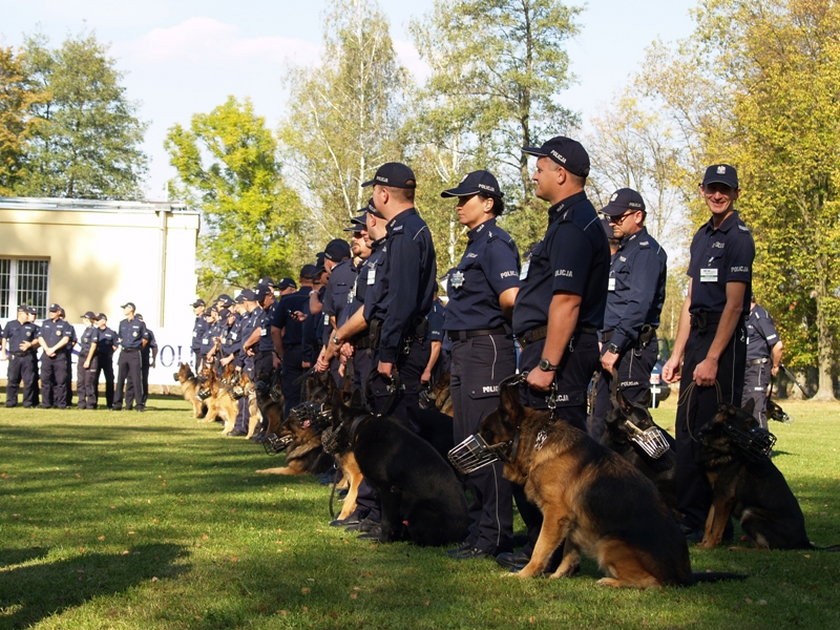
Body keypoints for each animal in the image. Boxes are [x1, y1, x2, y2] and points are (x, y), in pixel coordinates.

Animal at [330, 400, 472, 548]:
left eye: (333, 422)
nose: (327, 443)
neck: (361, 426)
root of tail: (464, 532)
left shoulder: (388, 490)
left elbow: (387, 520)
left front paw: (383, 539)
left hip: (420, 510)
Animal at [472, 376, 740, 588]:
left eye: (485, 433)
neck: (539, 442)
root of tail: (687, 575)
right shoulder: (572, 521)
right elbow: (569, 553)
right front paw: (558, 576)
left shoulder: (555, 515)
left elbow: (540, 550)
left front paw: (524, 575)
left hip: (608, 542)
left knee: (653, 583)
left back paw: (611, 581)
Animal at [696, 400, 832, 552]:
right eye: (748, 423)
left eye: (756, 423)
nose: (766, 441)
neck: (720, 446)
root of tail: (804, 541)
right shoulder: (717, 495)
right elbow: (709, 522)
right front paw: (704, 543)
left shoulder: (725, 497)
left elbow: (716, 527)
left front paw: (709, 545)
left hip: (749, 512)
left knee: (765, 548)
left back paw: (737, 548)